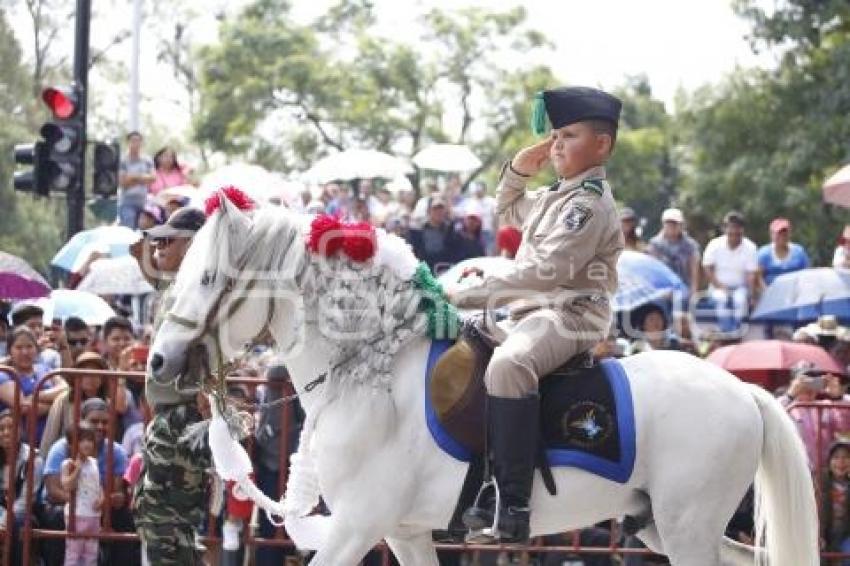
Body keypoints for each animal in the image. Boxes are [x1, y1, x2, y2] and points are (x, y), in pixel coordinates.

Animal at [149, 197, 820, 564]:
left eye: (207, 278)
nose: (157, 364)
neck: (372, 373)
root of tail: (743, 391)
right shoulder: (404, 532)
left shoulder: (357, 526)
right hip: (665, 526)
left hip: (686, 527)